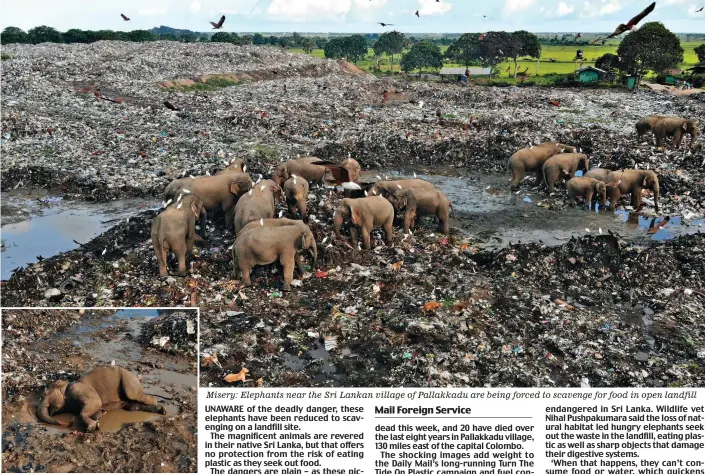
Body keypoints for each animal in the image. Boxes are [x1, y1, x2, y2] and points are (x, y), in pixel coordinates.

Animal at [37, 366, 166, 434]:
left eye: (44, 394)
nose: (69, 422)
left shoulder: (78, 389)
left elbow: (95, 402)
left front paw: (92, 427)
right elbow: (96, 410)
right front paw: (99, 418)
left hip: (128, 381)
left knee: (135, 396)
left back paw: (156, 402)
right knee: (133, 406)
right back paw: (162, 410)